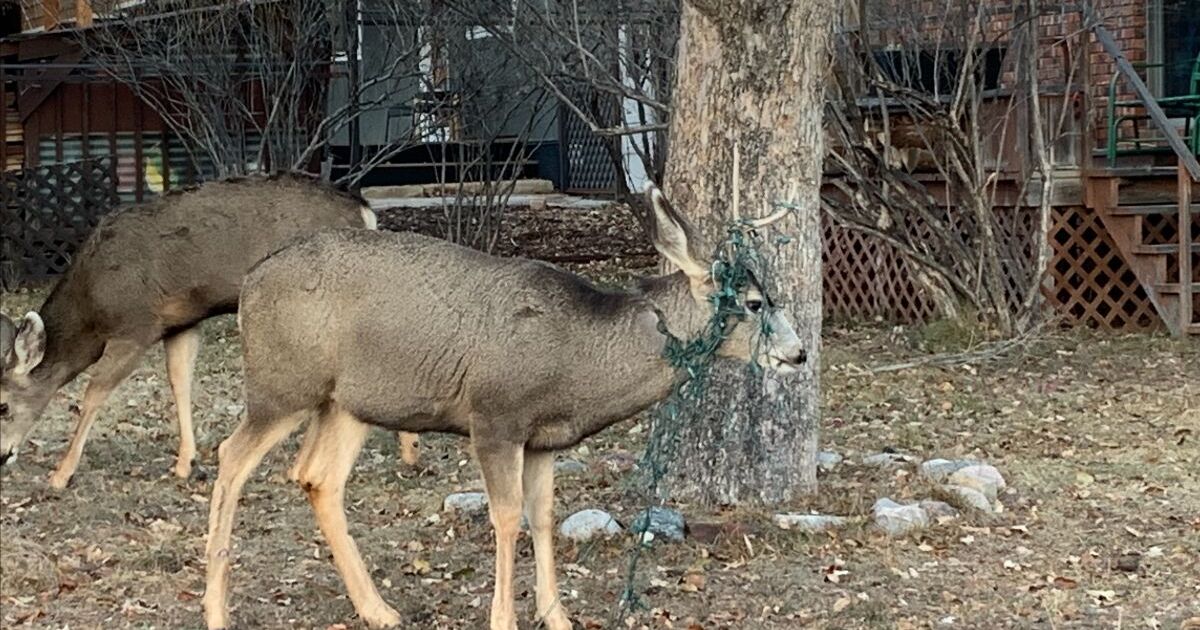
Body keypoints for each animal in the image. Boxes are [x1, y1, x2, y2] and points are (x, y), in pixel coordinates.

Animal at [0, 174, 422, 489]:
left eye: (2, 405)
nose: (3, 455)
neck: (92, 306)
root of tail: (364, 211)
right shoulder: (181, 321)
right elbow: (179, 381)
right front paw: (185, 463)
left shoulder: (136, 325)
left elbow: (93, 394)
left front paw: (61, 473)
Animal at [206, 187, 806, 628]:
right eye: (756, 303)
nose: (798, 353)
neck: (579, 357)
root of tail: (249, 284)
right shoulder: (495, 416)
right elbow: (507, 516)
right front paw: (504, 619)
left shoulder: (543, 438)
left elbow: (542, 516)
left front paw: (558, 616)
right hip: (281, 383)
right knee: (231, 456)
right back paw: (216, 611)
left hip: (348, 401)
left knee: (316, 476)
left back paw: (379, 611)